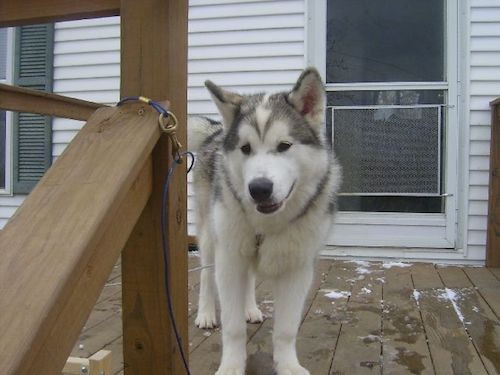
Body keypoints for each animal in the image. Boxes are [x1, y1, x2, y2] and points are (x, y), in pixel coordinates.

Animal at [189, 68, 342, 375]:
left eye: (284, 146)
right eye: (245, 148)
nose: (259, 188)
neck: (268, 223)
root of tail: (217, 131)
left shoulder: (297, 269)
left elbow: (286, 329)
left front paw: (288, 366)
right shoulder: (229, 260)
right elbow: (233, 327)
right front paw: (231, 366)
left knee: (248, 279)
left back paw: (250, 309)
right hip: (211, 237)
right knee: (206, 275)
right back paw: (206, 313)